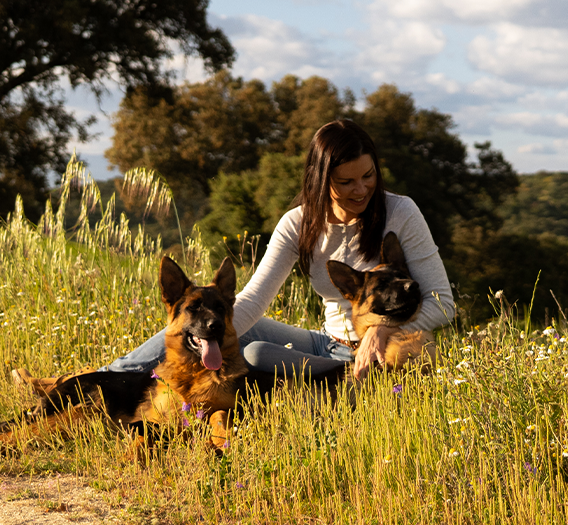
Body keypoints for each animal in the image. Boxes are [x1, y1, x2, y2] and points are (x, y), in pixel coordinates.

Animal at [0, 256, 292, 448]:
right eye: (194, 308)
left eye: (220, 308)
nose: (216, 326)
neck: (194, 374)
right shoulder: (155, 418)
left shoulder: (226, 409)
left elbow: (219, 416)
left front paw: (222, 438)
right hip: (82, 410)